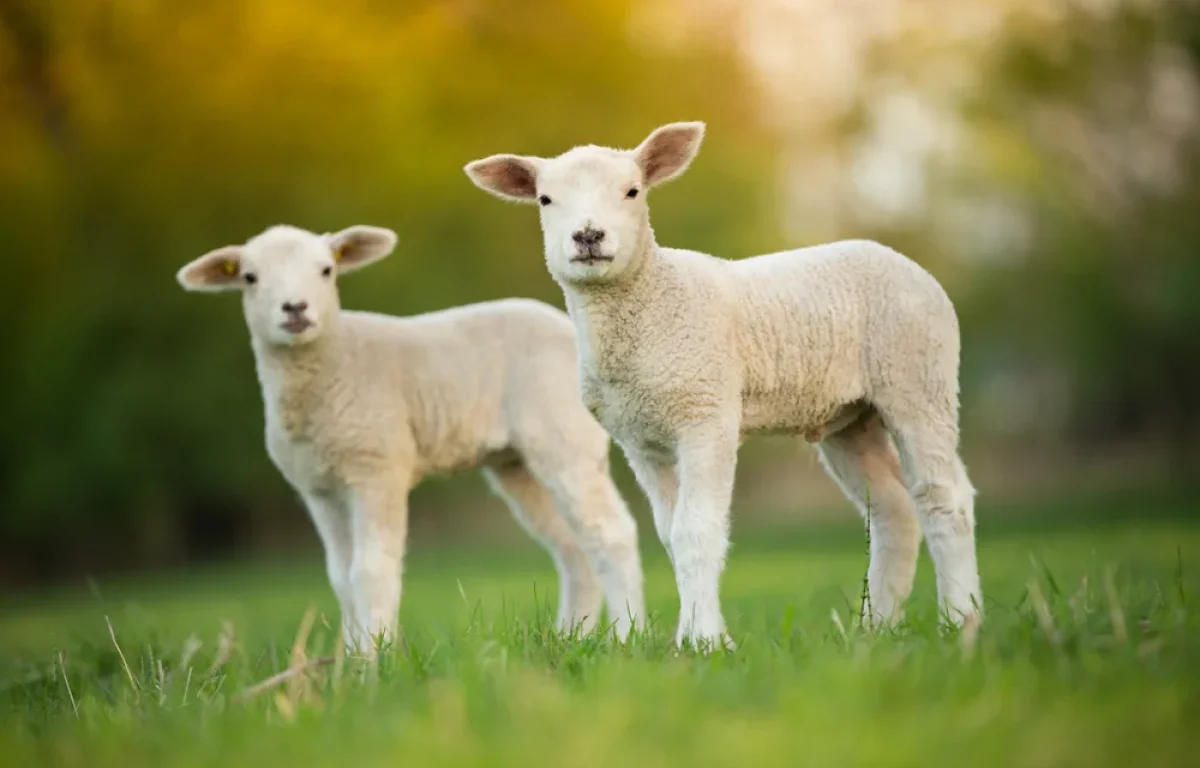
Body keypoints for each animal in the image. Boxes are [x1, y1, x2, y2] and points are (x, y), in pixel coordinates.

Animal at [463, 123, 979, 652]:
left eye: (632, 191)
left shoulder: (706, 415)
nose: (588, 236)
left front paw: (706, 642)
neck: (652, 300)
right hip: (851, 418)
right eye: (545, 199)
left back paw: (960, 622)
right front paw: (691, 634)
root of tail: (898, 258)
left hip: (918, 375)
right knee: (894, 511)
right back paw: (876, 630)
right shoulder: (641, 441)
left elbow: (697, 531)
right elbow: (670, 535)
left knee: (943, 498)